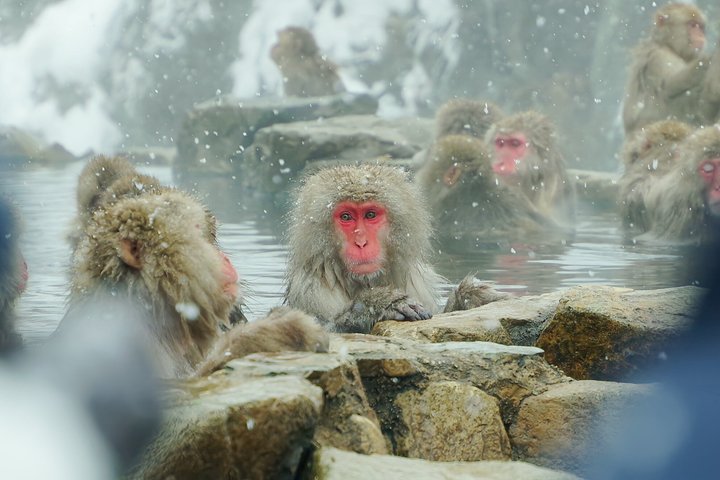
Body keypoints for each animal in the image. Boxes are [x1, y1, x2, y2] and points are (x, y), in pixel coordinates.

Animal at [622, 3, 713, 135]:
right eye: (692, 25)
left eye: (700, 27)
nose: (700, 35)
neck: (667, 45)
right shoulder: (659, 57)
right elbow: (669, 86)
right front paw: (707, 61)